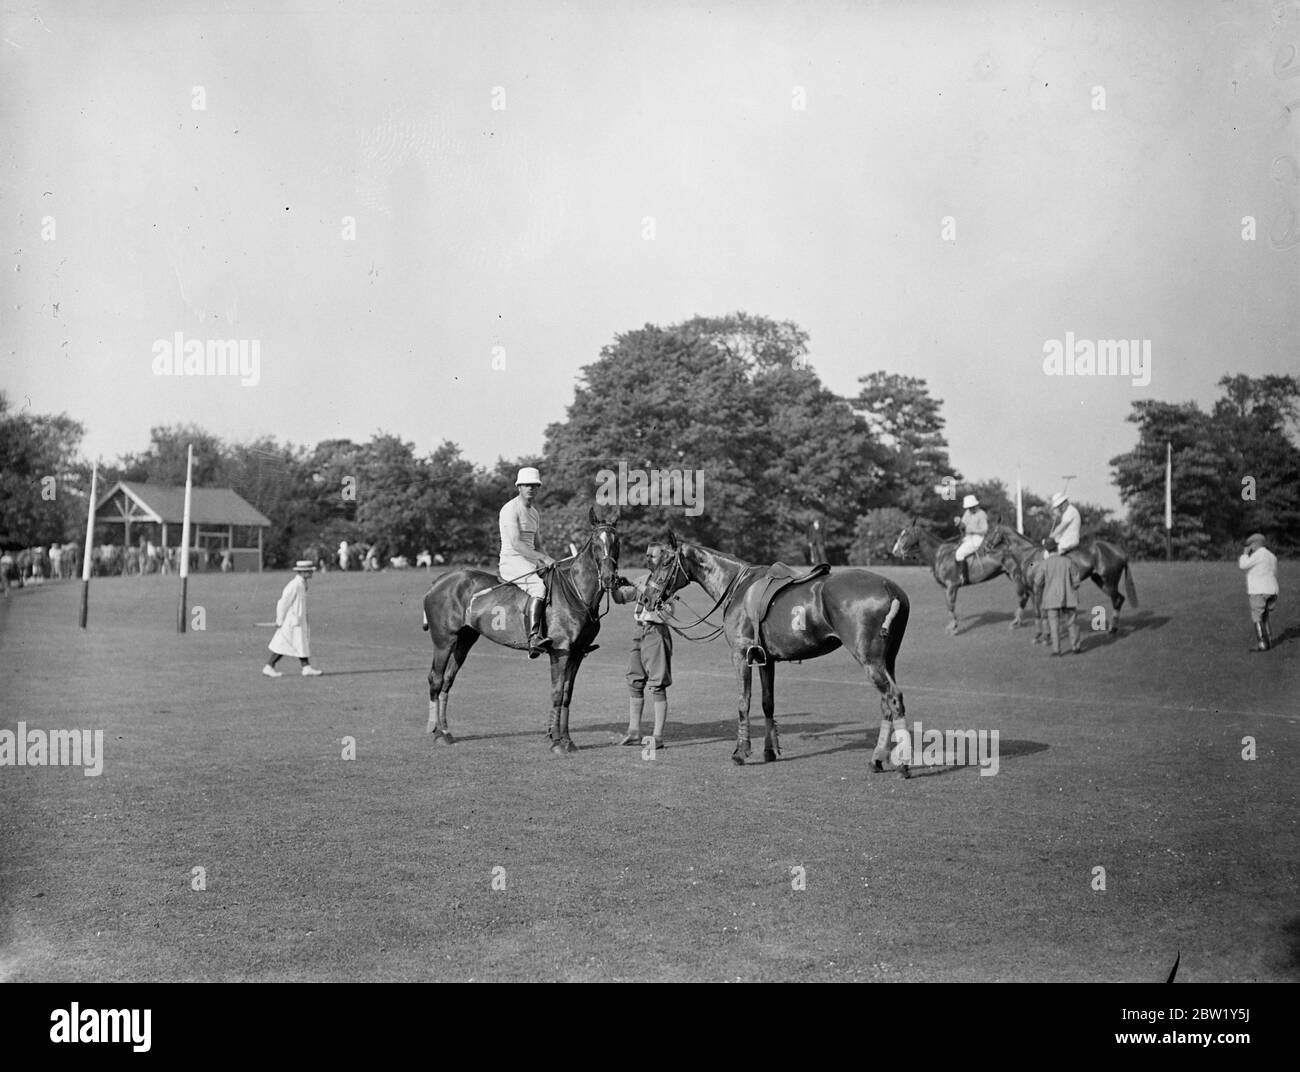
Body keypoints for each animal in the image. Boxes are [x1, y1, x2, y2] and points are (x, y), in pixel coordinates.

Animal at [418, 506, 616, 758]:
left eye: (616, 541)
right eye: (596, 543)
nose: (610, 578)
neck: (577, 593)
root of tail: (437, 582)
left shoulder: (578, 653)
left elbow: (567, 695)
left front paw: (567, 740)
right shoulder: (560, 652)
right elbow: (557, 693)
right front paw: (556, 741)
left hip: (464, 640)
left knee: (447, 681)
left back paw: (445, 731)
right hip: (444, 640)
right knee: (435, 679)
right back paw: (436, 733)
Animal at [642, 530, 915, 774]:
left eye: (666, 562)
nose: (646, 598)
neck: (738, 585)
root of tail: (889, 588)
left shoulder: (740, 655)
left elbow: (744, 702)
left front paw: (741, 752)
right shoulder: (766, 659)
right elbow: (767, 703)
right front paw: (770, 750)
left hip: (869, 659)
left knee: (893, 698)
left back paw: (902, 764)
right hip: (887, 660)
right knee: (886, 703)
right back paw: (877, 759)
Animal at [889, 519, 1029, 631]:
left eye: (905, 534)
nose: (894, 551)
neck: (938, 555)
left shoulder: (952, 585)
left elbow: (951, 605)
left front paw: (954, 627)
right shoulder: (946, 587)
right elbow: (948, 605)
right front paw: (952, 625)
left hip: (1015, 574)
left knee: (1023, 595)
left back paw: (1016, 622)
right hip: (1011, 575)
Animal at [982, 524, 1138, 636]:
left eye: (990, 532)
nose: (984, 548)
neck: (1028, 555)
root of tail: (1120, 551)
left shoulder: (1037, 589)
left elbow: (1041, 611)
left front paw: (1046, 634)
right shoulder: (1034, 591)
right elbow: (1040, 611)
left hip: (1109, 581)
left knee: (1118, 599)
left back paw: (1113, 629)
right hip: (1100, 581)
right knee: (1118, 599)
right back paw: (1113, 628)